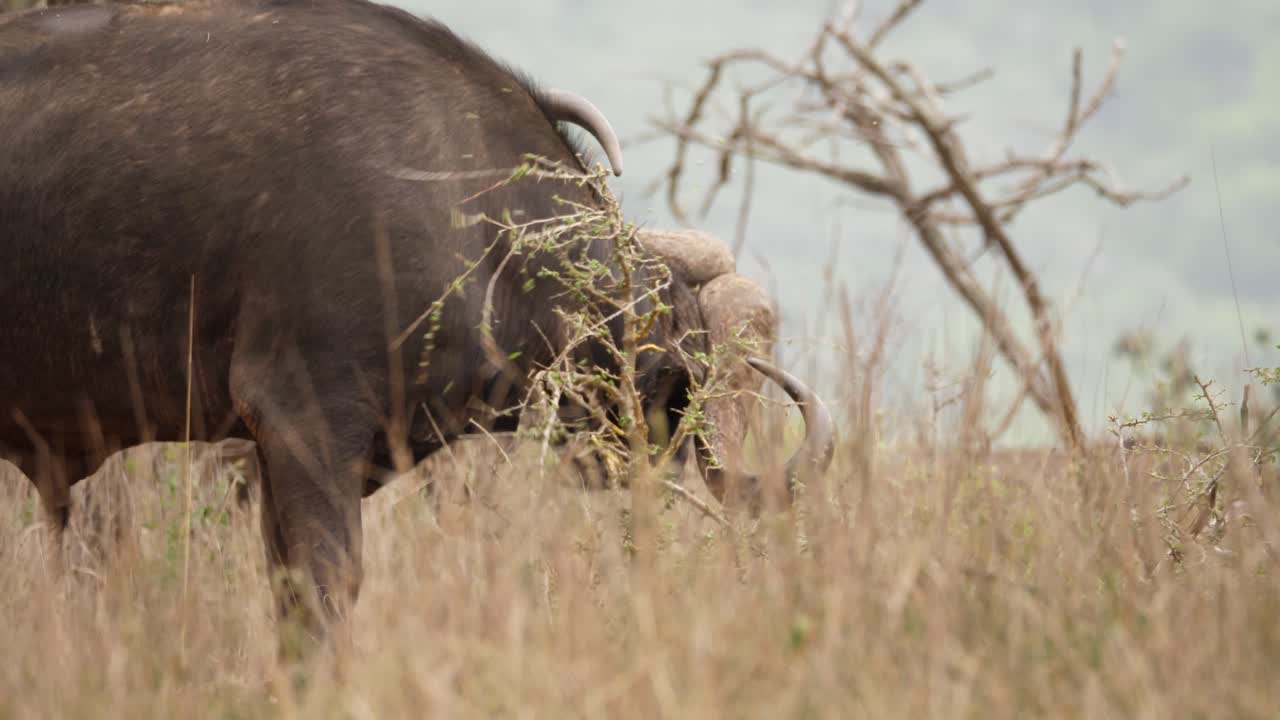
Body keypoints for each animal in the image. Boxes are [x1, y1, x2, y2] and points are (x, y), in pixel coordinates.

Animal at [0, 0, 833, 651]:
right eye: (675, 373)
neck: (467, 214)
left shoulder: (284, 456)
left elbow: (289, 596)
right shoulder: (306, 424)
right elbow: (327, 590)